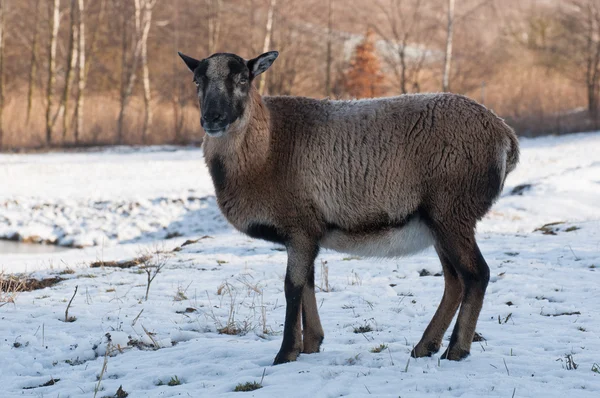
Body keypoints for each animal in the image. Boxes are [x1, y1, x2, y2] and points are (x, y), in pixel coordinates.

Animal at [178, 49, 520, 364]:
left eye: (243, 79)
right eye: (197, 81)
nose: (213, 119)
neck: (267, 147)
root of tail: (506, 136)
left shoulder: (299, 227)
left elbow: (293, 287)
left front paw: (286, 353)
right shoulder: (308, 232)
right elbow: (308, 286)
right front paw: (312, 345)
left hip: (452, 212)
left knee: (477, 274)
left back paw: (456, 349)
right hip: (438, 223)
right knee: (454, 281)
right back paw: (425, 346)